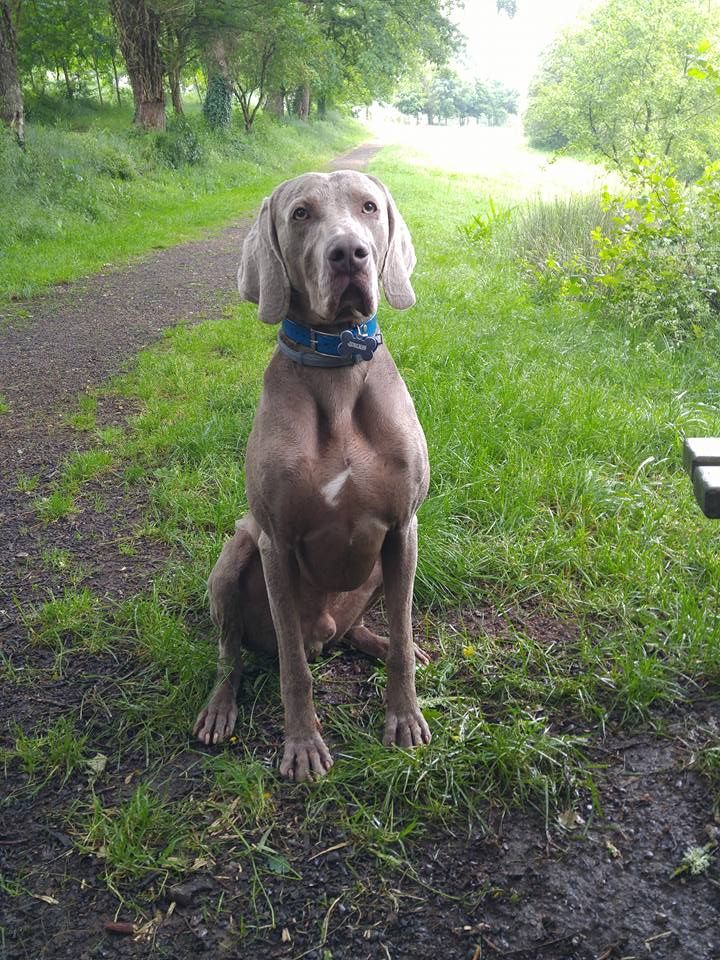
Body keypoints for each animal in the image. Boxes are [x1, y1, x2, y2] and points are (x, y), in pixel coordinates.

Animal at [193, 170, 431, 780]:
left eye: (368, 207)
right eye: (300, 214)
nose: (350, 253)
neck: (337, 367)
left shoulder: (404, 528)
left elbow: (403, 635)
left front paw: (404, 717)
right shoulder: (275, 542)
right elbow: (293, 669)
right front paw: (301, 745)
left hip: (384, 569)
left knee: (369, 630)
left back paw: (378, 643)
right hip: (233, 558)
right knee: (233, 654)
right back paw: (219, 708)